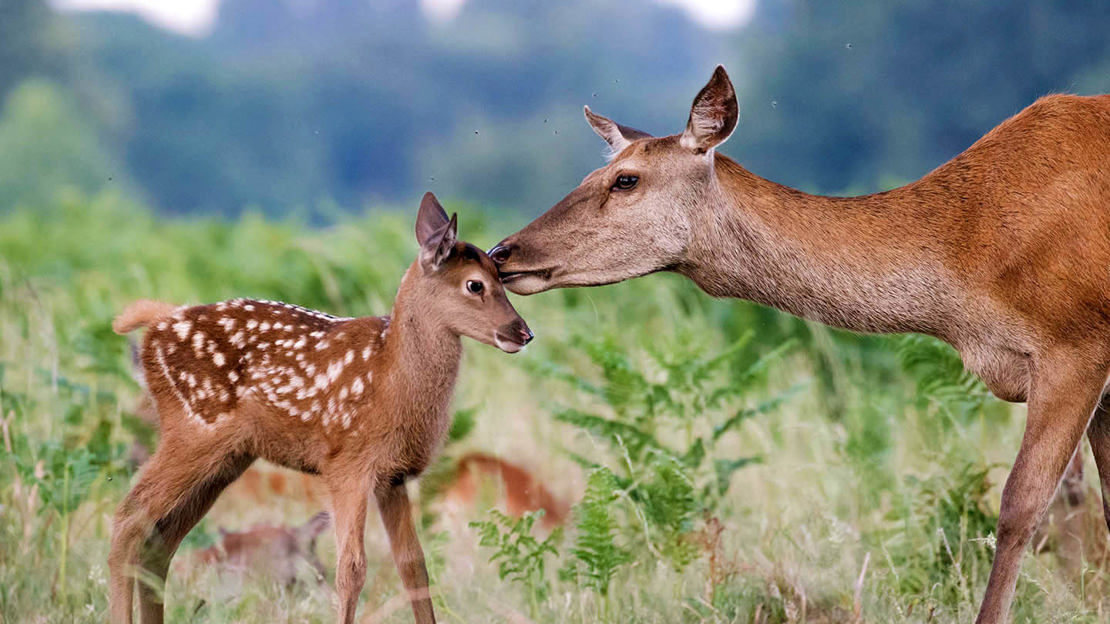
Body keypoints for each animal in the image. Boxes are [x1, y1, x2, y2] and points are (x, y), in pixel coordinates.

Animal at [108, 192, 533, 624]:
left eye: (503, 278)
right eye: (475, 284)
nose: (523, 332)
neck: (391, 379)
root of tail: (156, 324)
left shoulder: (393, 476)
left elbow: (414, 565)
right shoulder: (347, 464)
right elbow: (352, 567)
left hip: (226, 457)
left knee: (159, 540)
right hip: (194, 429)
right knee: (128, 519)